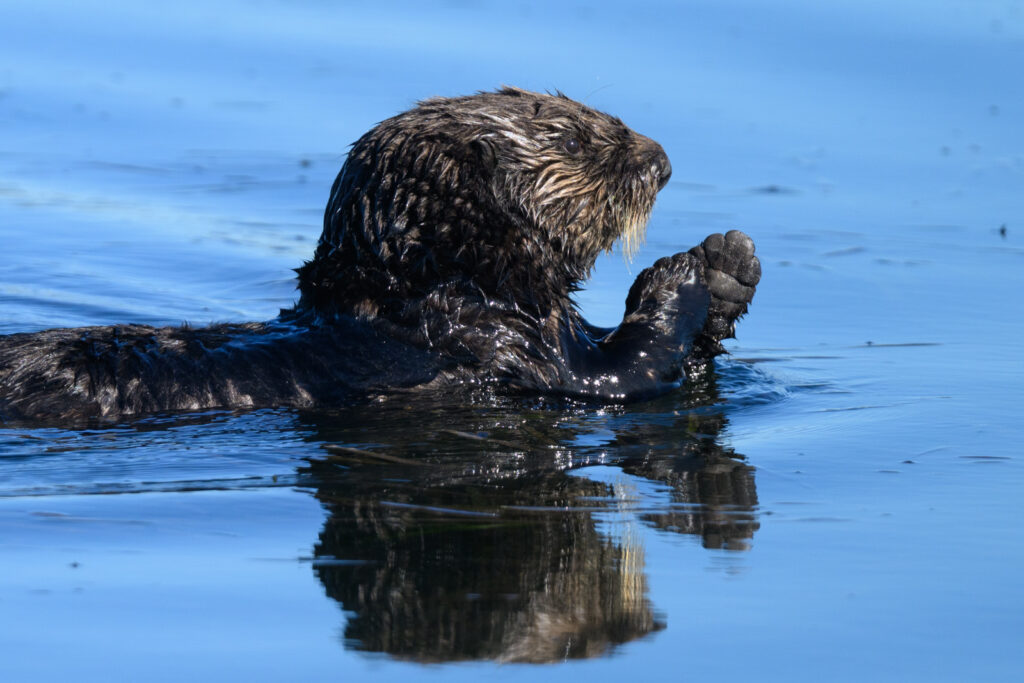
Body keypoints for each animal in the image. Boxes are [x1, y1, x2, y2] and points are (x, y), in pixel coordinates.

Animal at [0, 87, 760, 422]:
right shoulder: (511, 355)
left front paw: (731, 270)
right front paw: (688, 271)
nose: (662, 160)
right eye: (575, 140)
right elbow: (620, 375)